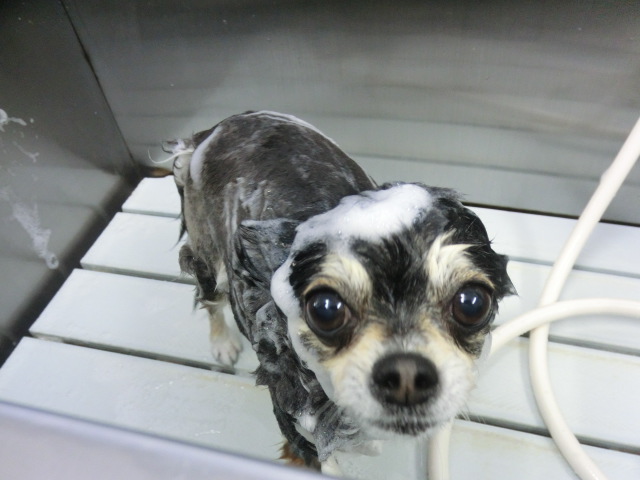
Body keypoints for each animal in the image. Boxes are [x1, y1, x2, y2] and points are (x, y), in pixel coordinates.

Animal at [168, 110, 514, 475]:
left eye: (472, 304)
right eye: (325, 309)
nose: (407, 375)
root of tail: (214, 130)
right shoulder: (294, 423)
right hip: (208, 258)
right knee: (211, 300)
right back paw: (222, 342)